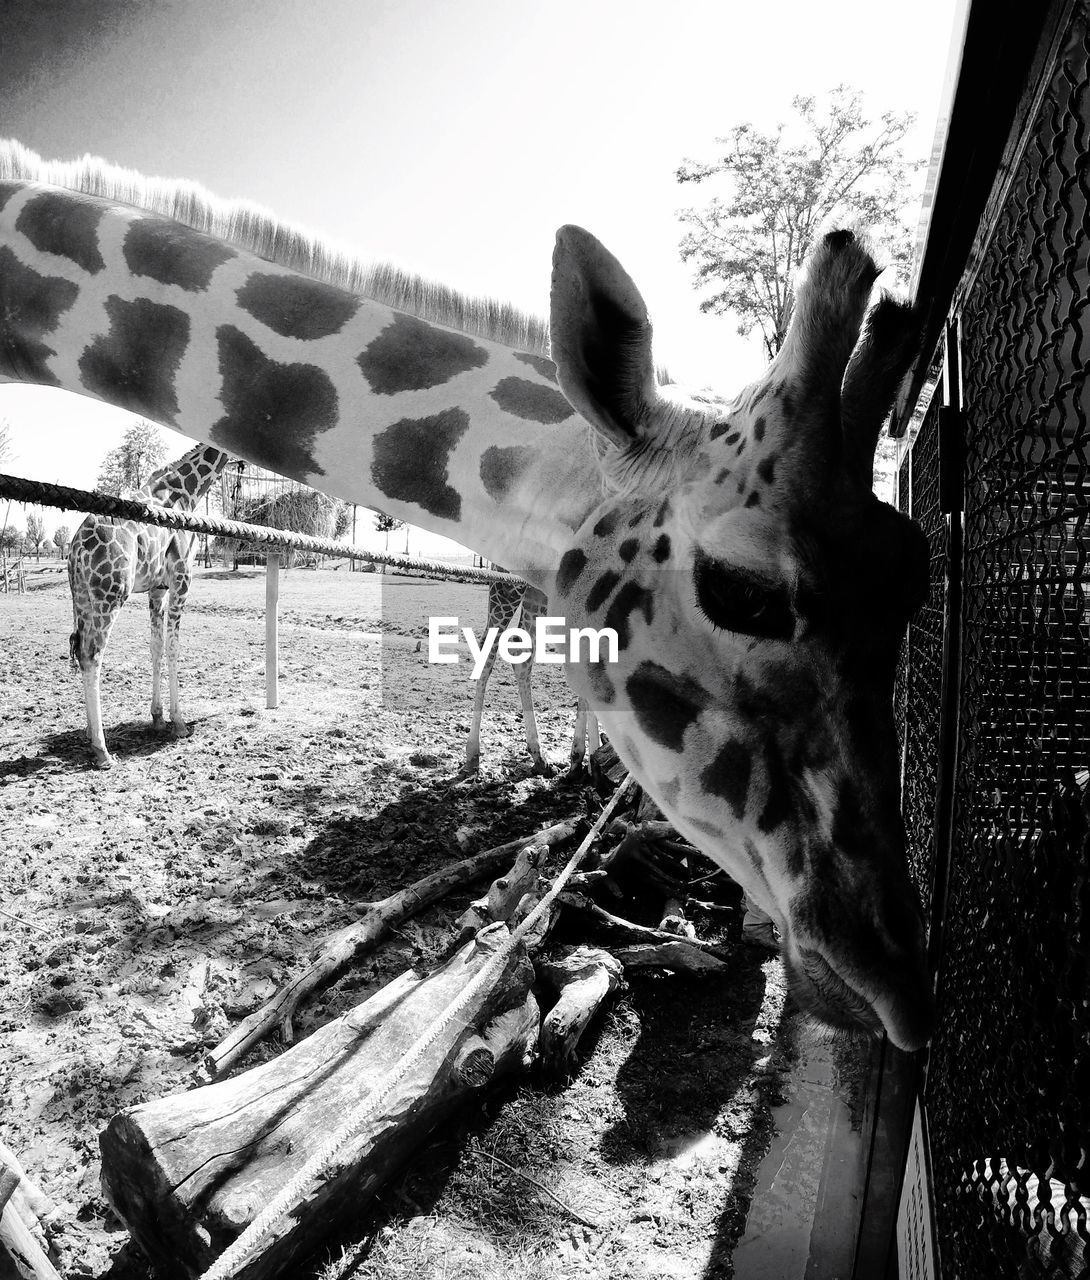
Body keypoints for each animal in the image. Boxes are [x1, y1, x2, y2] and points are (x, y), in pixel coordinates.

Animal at [68, 445, 230, 768]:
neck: (185, 493)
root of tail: (77, 548)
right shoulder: (181, 578)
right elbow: (173, 647)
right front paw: (178, 723)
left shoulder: (158, 588)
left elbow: (155, 646)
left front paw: (157, 718)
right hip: (111, 594)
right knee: (92, 655)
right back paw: (102, 751)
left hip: (81, 597)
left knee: (79, 651)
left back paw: (91, 733)